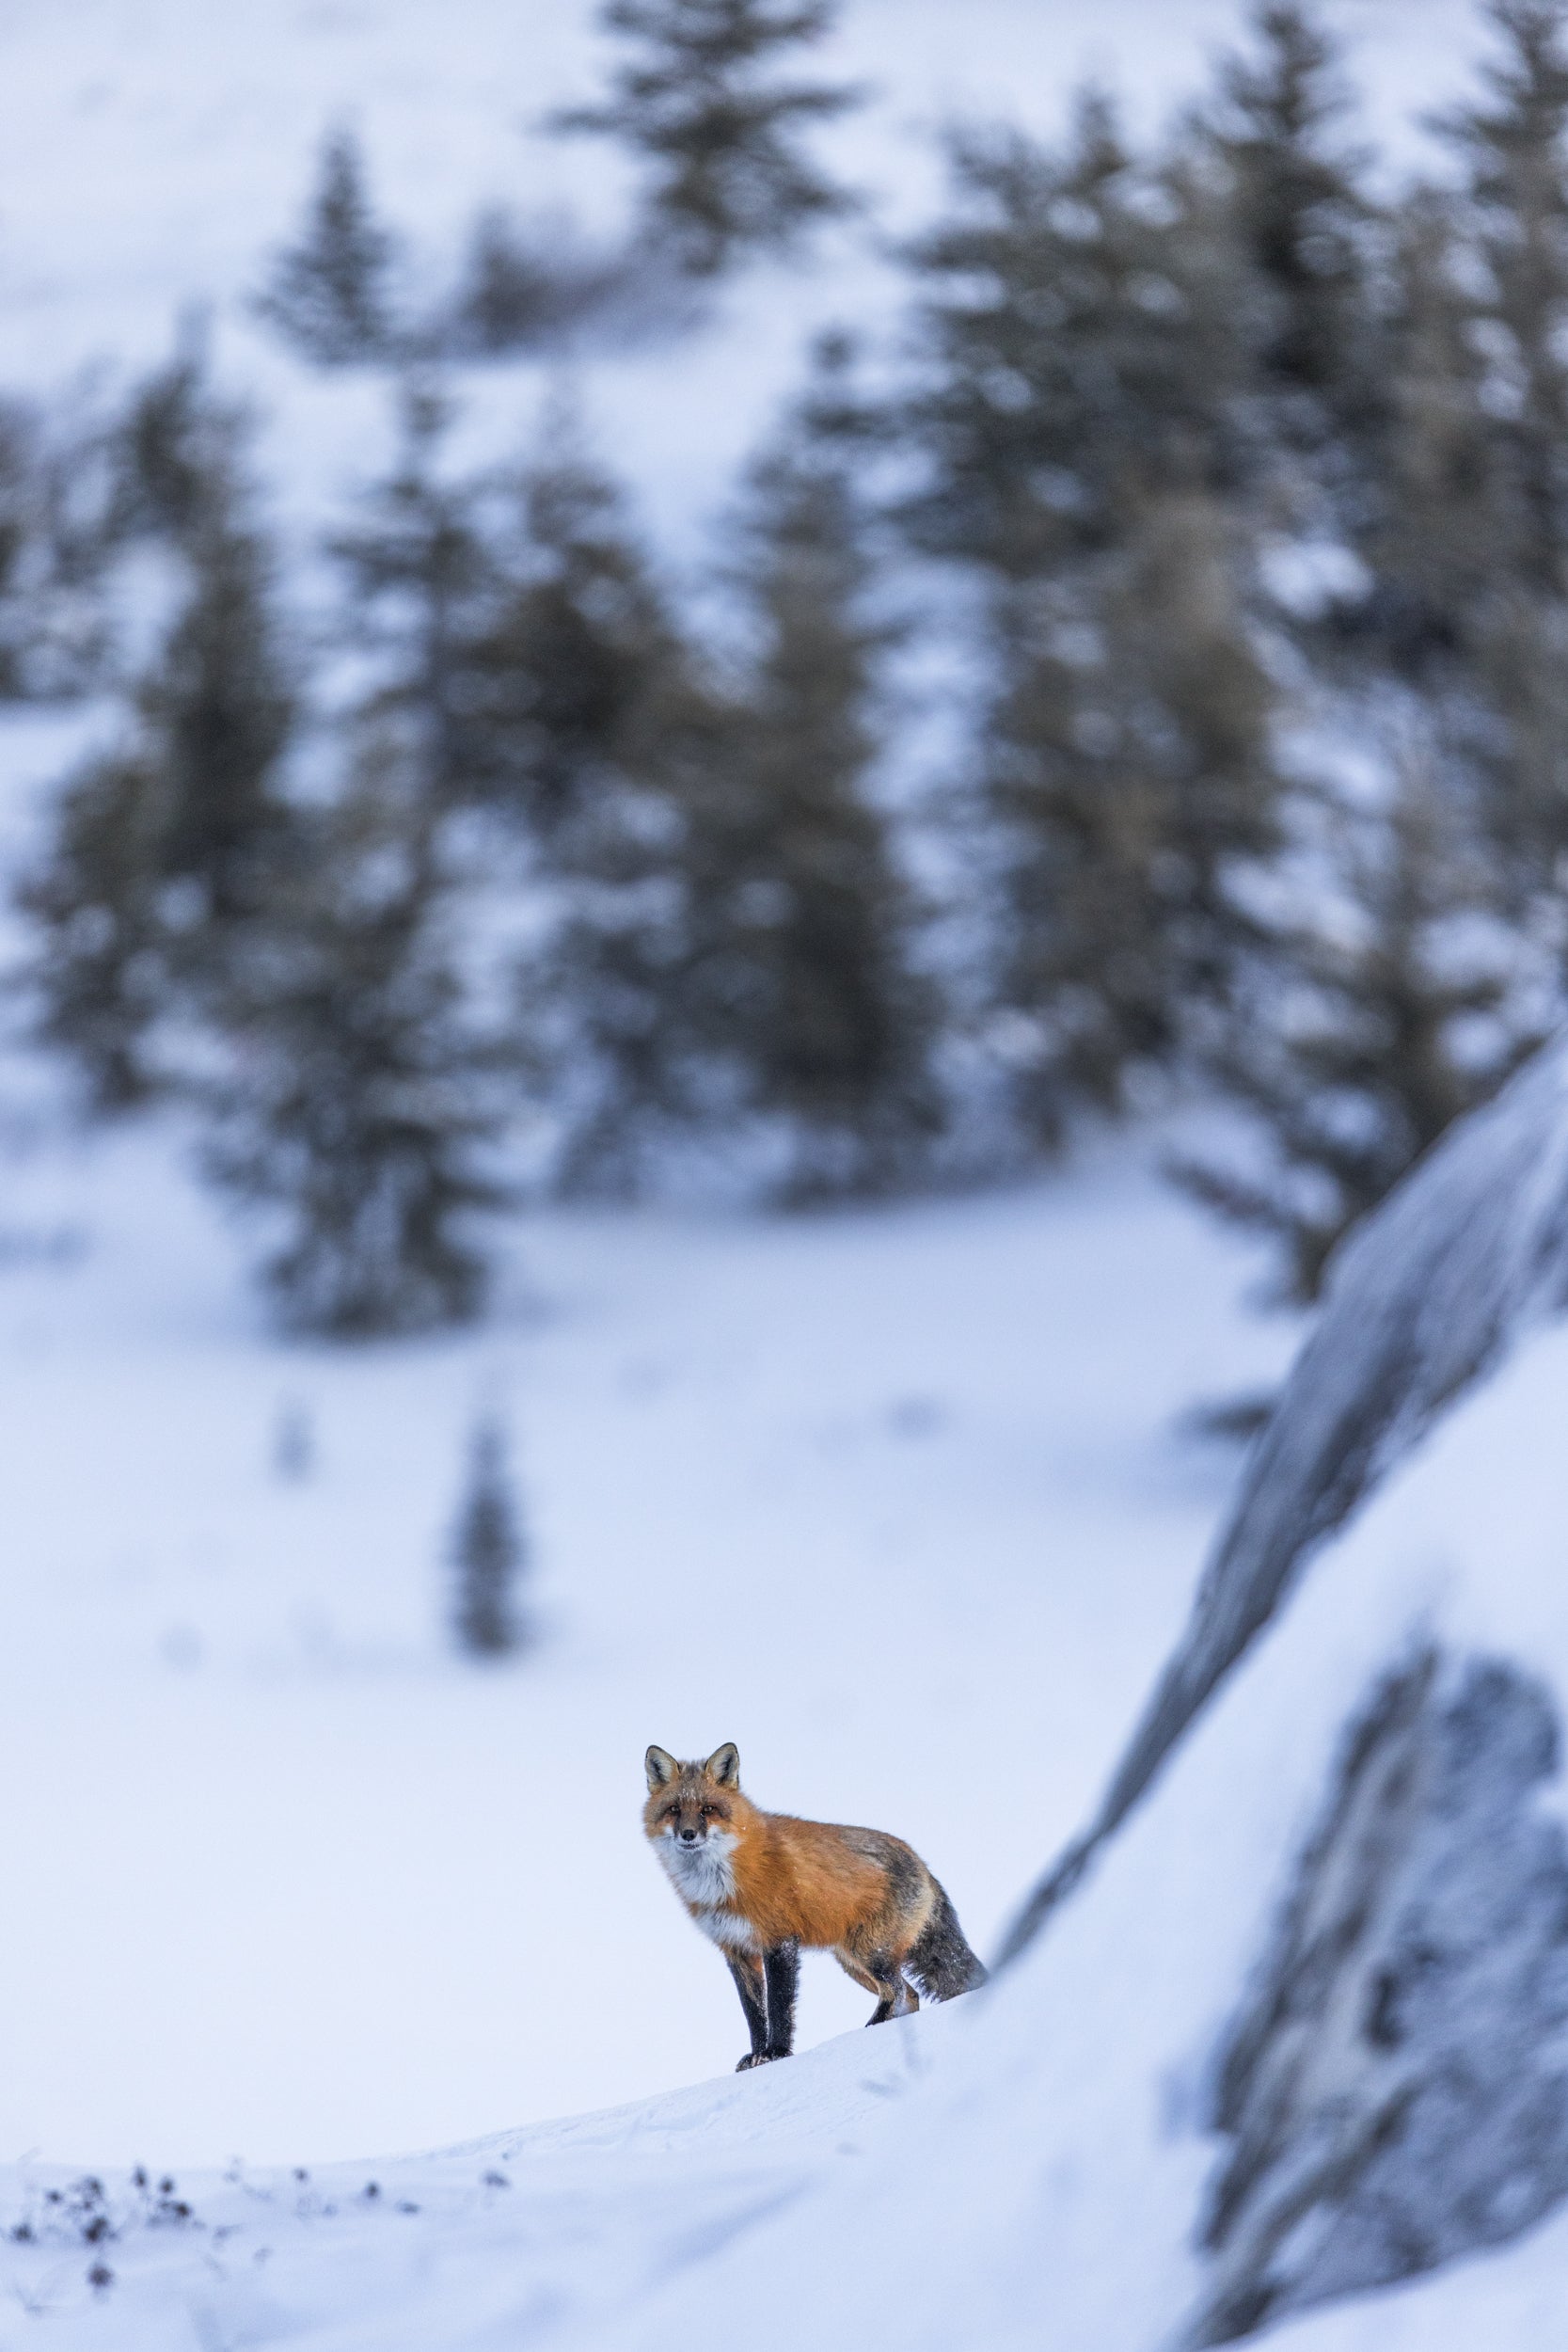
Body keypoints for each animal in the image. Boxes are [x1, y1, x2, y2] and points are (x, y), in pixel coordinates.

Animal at [643, 1742, 988, 2070]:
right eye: (674, 1809)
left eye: (708, 1809)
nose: (688, 1834)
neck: (723, 1881)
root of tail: (921, 1861)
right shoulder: (736, 1949)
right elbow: (754, 2013)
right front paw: (756, 2057)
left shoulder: (779, 1940)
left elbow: (779, 2007)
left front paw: (777, 2054)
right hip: (853, 1962)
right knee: (910, 1995)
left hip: (870, 1954)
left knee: (898, 1991)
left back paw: (866, 2033)